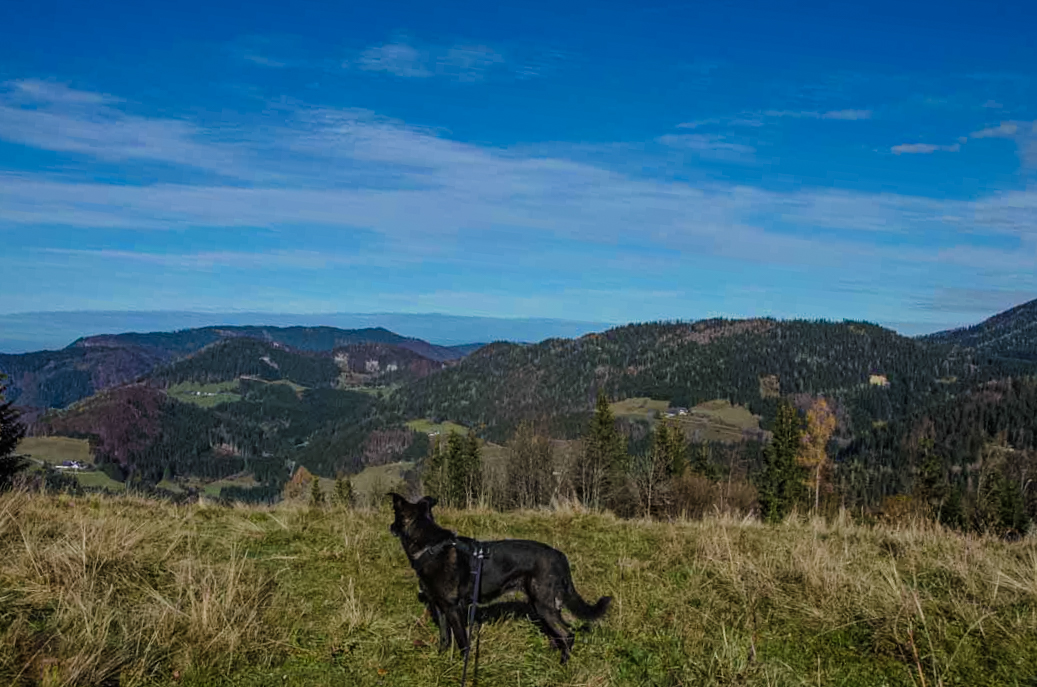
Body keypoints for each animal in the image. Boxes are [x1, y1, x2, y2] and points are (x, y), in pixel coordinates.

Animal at [391, 491, 609, 664]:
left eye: (394, 517)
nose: (390, 527)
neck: (431, 548)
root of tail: (560, 556)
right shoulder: (439, 607)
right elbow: (445, 637)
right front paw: (440, 658)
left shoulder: (454, 609)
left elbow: (462, 642)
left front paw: (461, 665)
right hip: (541, 605)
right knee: (557, 635)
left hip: (543, 605)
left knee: (567, 635)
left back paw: (563, 664)